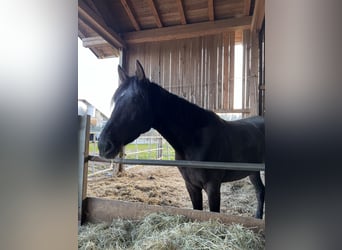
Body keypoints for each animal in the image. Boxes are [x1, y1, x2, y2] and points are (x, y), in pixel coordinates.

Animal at [98, 59, 264, 218]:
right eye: (115, 101)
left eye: (136, 100)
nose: (103, 145)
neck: (194, 141)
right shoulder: (191, 185)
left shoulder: (213, 187)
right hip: (253, 172)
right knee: (260, 190)